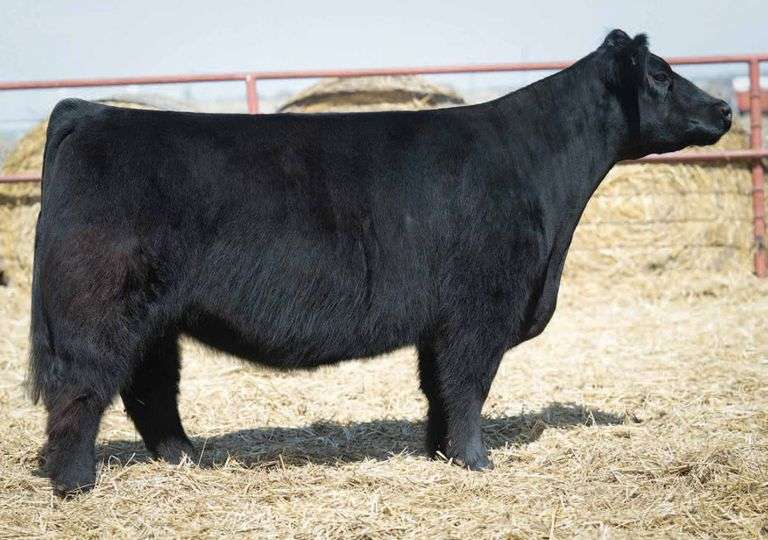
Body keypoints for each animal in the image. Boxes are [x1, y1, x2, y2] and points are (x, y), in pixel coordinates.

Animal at [29, 29, 731, 496]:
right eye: (660, 76)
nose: (725, 108)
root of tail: (93, 112)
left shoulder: (441, 321)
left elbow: (439, 390)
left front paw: (440, 454)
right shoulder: (479, 311)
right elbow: (469, 387)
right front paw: (477, 462)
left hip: (155, 318)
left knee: (150, 388)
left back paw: (186, 459)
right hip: (99, 310)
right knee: (82, 389)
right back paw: (75, 484)